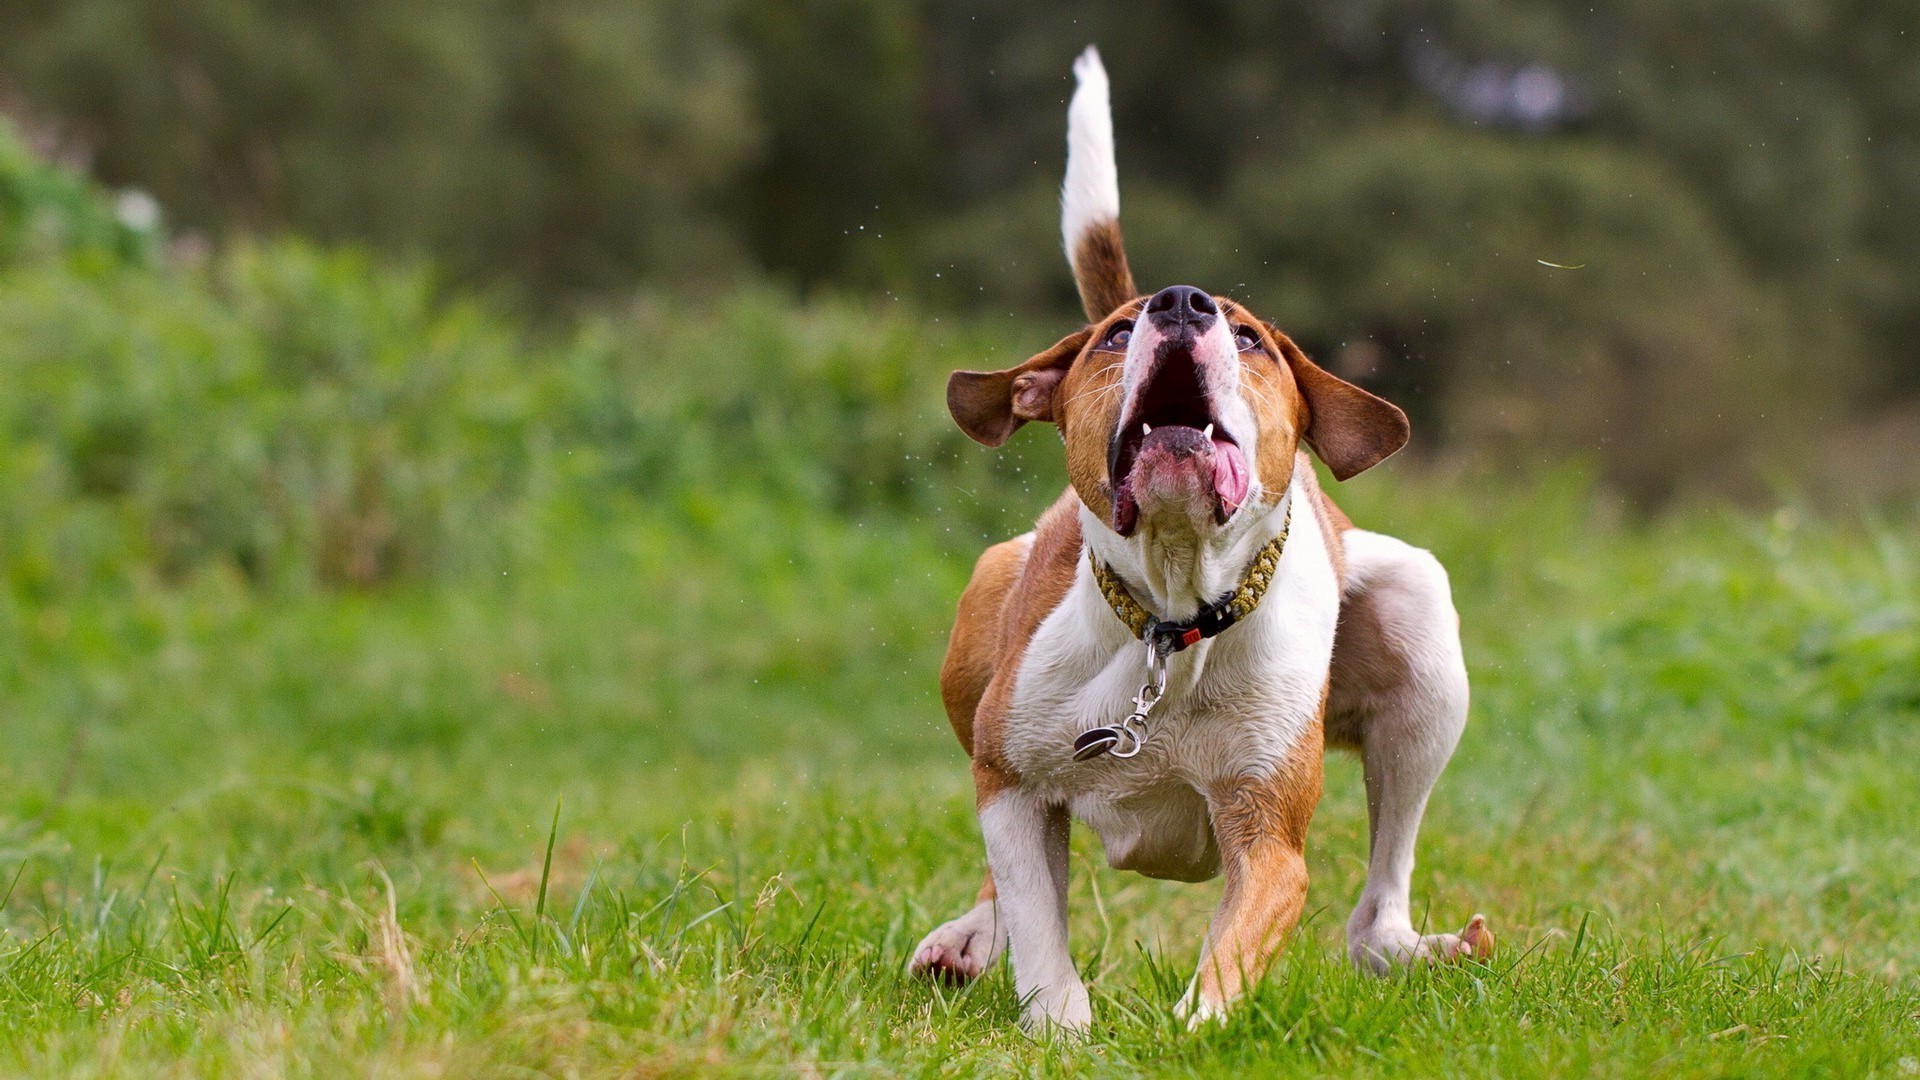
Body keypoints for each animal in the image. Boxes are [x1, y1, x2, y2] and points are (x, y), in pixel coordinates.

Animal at [906, 48, 1489, 1022]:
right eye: (1113, 336)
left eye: (1251, 338)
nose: (1179, 302)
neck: (1172, 623)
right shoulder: (1012, 783)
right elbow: (1035, 917)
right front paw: (1061, 1026)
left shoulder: (1269, 840)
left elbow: (1230, 957)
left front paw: (1186, 1030)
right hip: (981, 619)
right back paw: (966, 940)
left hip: (1421, 627)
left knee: (1374, 912)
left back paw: (1417, 948)